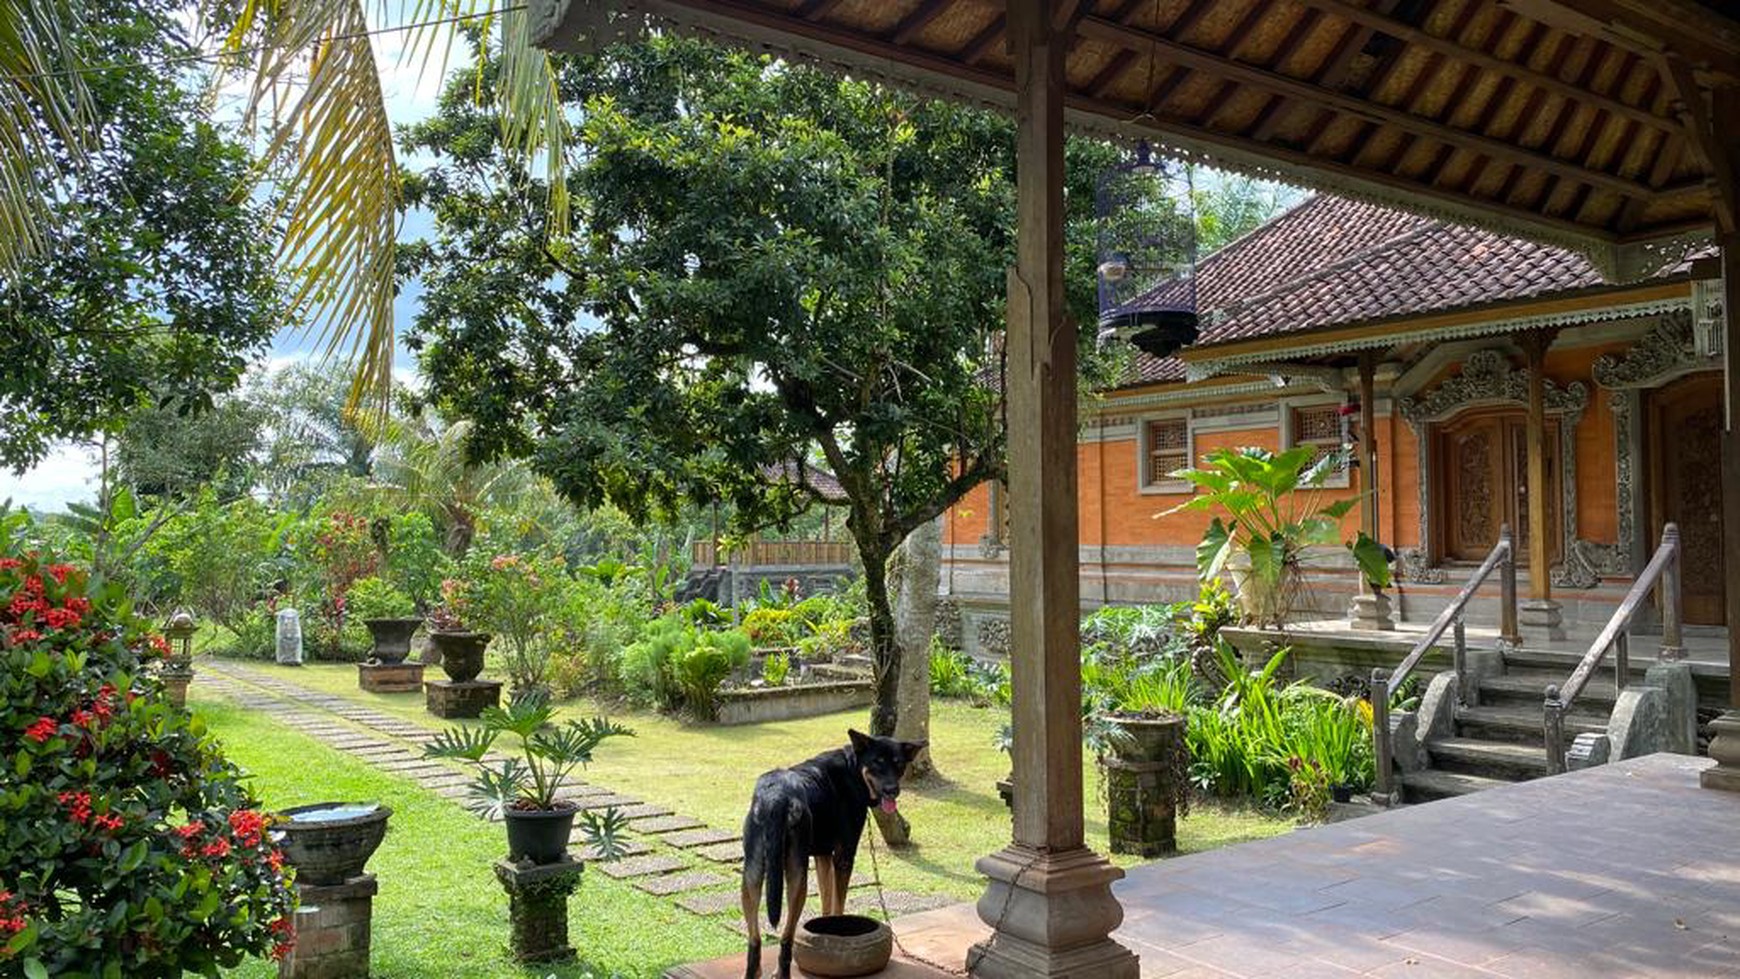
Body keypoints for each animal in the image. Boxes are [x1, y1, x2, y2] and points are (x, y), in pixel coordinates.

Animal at [737, 730, 925, 973]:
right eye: (877, 762)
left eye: (899, 764)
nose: (892, 790)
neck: (854, 768)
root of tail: (776, 796)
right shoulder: (844, 857)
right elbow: (838, 906)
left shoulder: (822, 856)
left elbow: (826, 902)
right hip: (797, 876)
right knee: (786, 937)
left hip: (751, 875)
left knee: (755, 940)